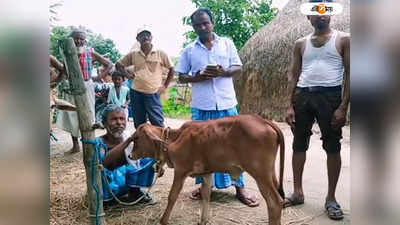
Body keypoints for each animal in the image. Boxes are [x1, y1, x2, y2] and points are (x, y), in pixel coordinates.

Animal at [104, 115, 284, 224]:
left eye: (136, 138)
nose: (131, 155)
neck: (175, 138)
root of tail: (263, 120)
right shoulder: (207, 174)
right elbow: (205, 196)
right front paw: (203, 220)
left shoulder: (180, 171)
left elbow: (172, 196)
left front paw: (163, 220)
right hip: (270, 174)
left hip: (260, 174)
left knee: (275, 202)